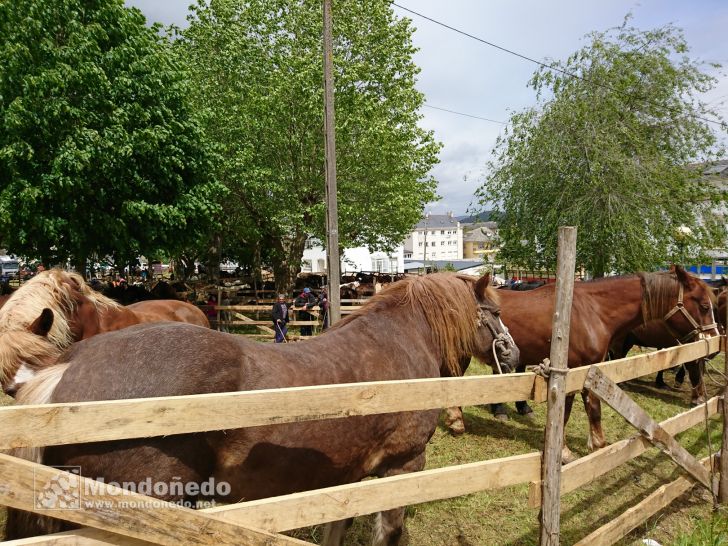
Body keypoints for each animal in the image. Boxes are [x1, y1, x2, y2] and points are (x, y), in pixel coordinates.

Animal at [444, 266, 716, 462]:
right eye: (704, 305)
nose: (712, 340)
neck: (592, 312)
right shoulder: (570, 371)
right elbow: (564, 413)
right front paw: (563, 452)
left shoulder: (590, 370)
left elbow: (593, 409)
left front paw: (598, 446)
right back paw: (457, 420)